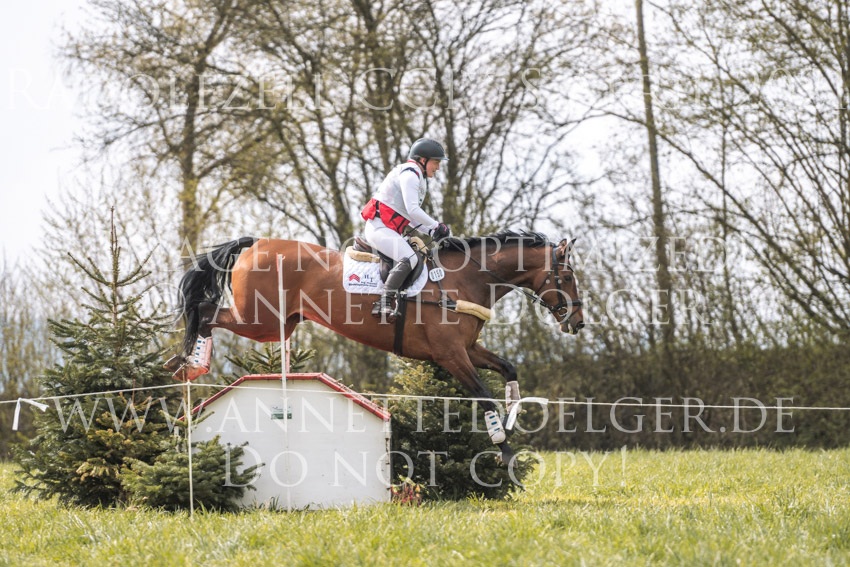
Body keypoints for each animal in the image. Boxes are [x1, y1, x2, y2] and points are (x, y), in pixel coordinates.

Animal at [165, 230, 584, 462]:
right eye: (566, 277)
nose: (577, 322)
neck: (465, 278)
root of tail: (258, 243)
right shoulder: (451, 355)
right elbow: (484, 397)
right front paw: (505, 451)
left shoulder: (467, 349)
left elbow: (509, 371)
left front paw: (514, 413)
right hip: (261, 322)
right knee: (205, 311)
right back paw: (192, 362)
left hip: (279, 324)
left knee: (208, 313)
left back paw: (187, 364)